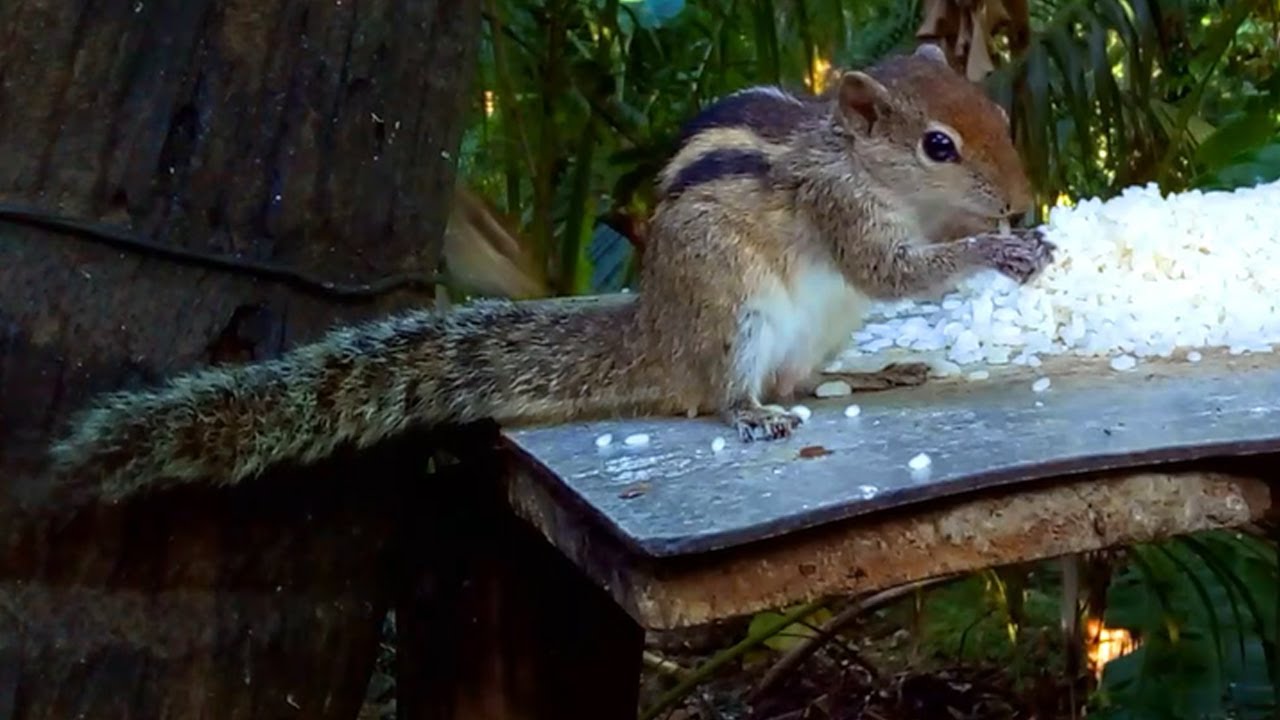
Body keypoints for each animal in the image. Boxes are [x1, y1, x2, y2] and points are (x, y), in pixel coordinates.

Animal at [48, 44, 1054, 501]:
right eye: (938, 145)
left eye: (1000, 115)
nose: (1019, 199)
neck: (850, 158)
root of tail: (655, 333)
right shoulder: (844, 216)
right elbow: (887, 269)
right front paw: (995, 251)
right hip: (732, 312)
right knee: (723, 392)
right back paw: (751, 414)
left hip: (808, 335)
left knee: (807, 377)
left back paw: (878, 373)